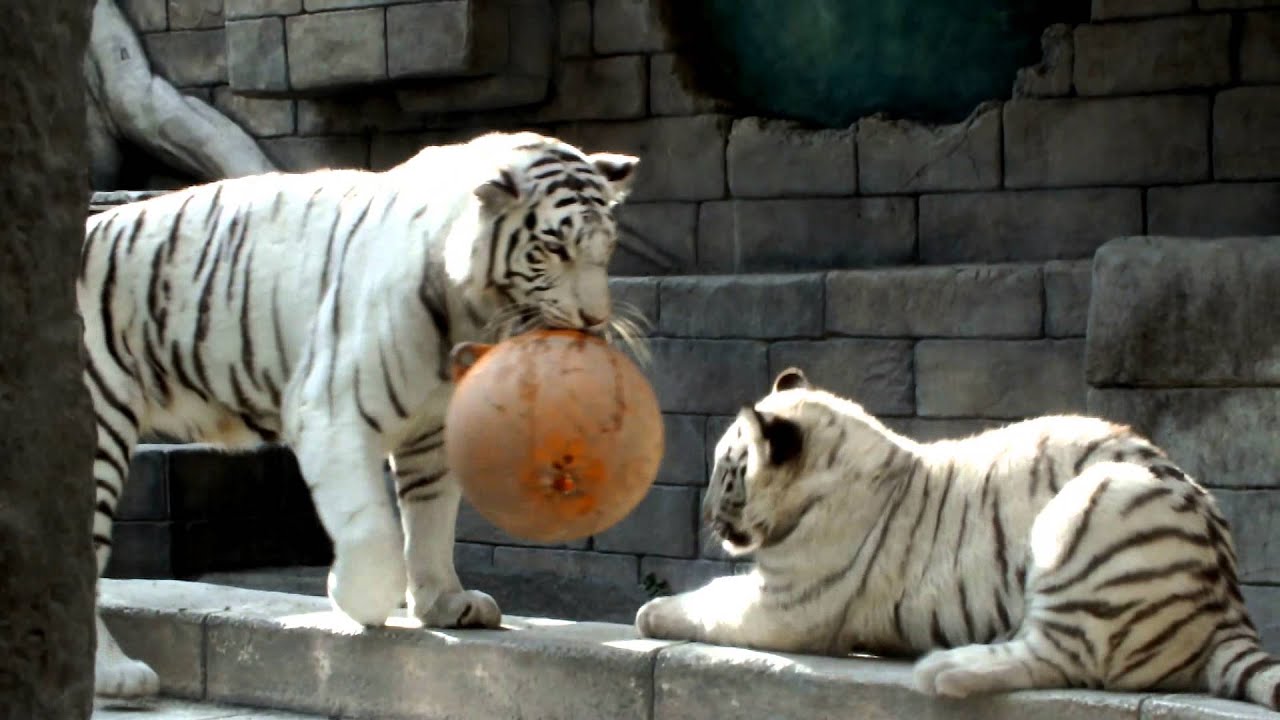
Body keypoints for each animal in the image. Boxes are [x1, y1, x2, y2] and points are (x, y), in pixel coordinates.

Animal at [81, 130, 639, 697]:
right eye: (553, 249)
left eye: (607, 249)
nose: (595, 320)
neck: (468, 311)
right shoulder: (331, 412)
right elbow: (374, 534)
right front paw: (356, 600)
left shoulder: (433, 433)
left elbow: (431, 521)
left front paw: (446, 604)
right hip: (96, 425)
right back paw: (115, 675)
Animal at [636, 367, 1280, 711]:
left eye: (727, 470)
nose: (706, 514)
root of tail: (1229, 609)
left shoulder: (786, 606)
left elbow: (708, 603)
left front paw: (651, 612)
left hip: (1096, 505)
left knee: (1064, 654)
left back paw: (943, 668)